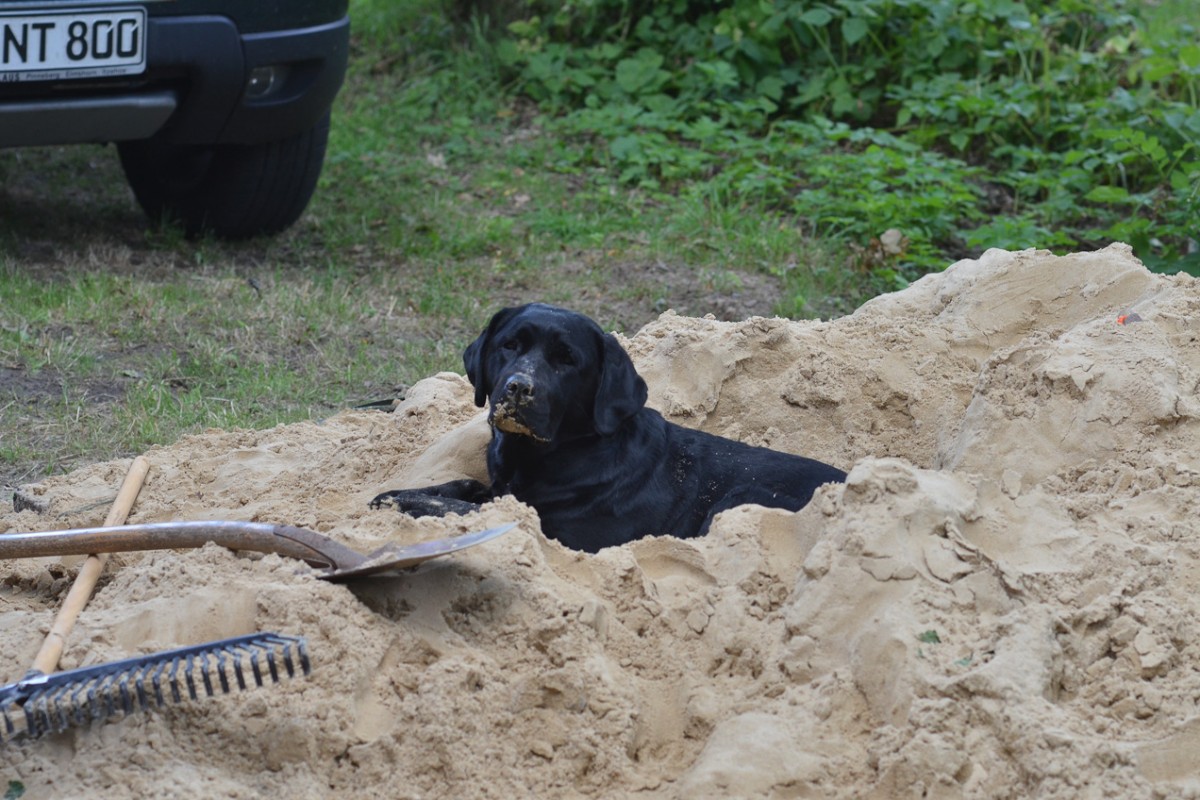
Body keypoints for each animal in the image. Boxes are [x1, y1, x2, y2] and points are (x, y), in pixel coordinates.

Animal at [369, 303, 849, 554]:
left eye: (567, 360)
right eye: (510, 345)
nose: (518, 387)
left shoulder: (559, 533)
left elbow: (474, 510)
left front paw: (403, 503)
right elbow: (464, 487)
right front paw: (394, 494)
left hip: (741, 497)